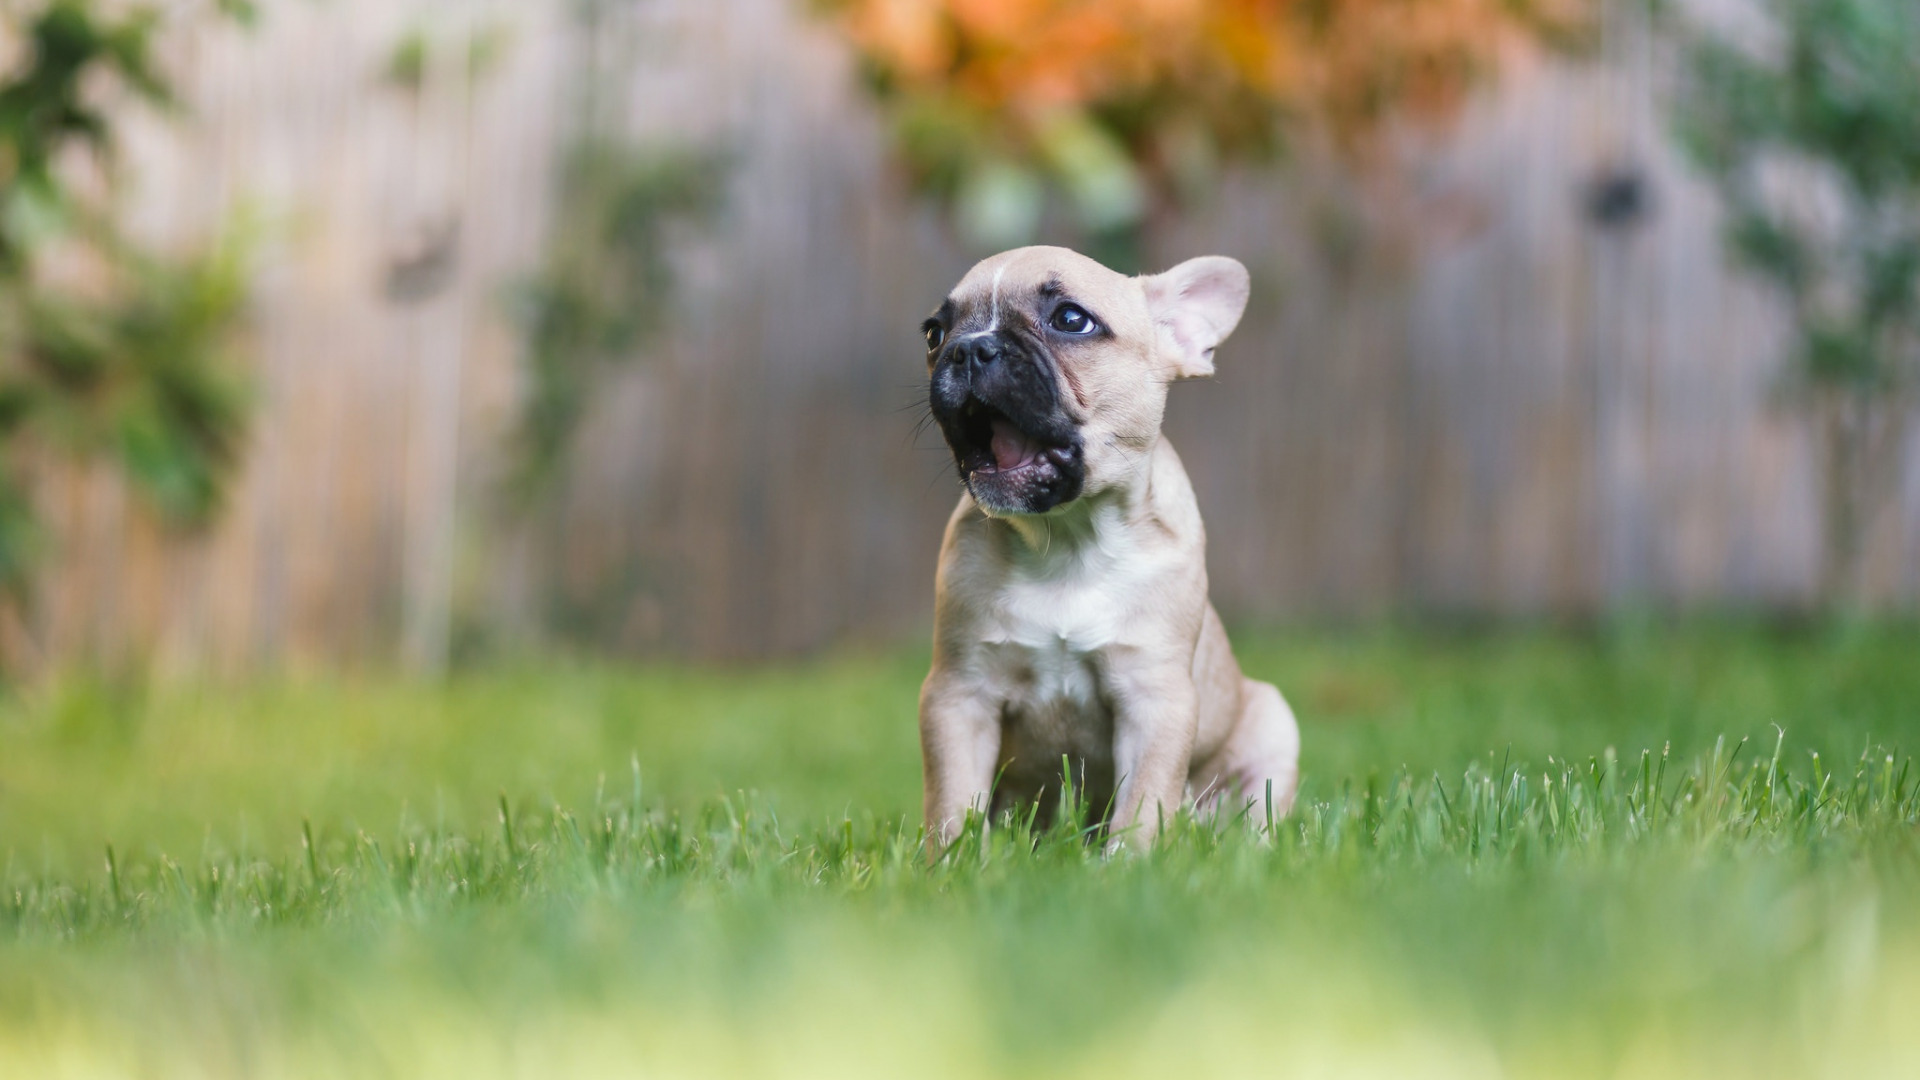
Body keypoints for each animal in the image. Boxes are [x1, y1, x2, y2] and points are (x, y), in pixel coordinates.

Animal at [913, 245, 1305, 849]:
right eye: (934, 334)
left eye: (1071, 320)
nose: (968, 348)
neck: (1068, 540)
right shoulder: (959, 696)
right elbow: (953, 801)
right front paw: (949, 861)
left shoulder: (1155, 699)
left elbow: (1143, 801)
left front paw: (1130, 861)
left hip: (1274, 724)